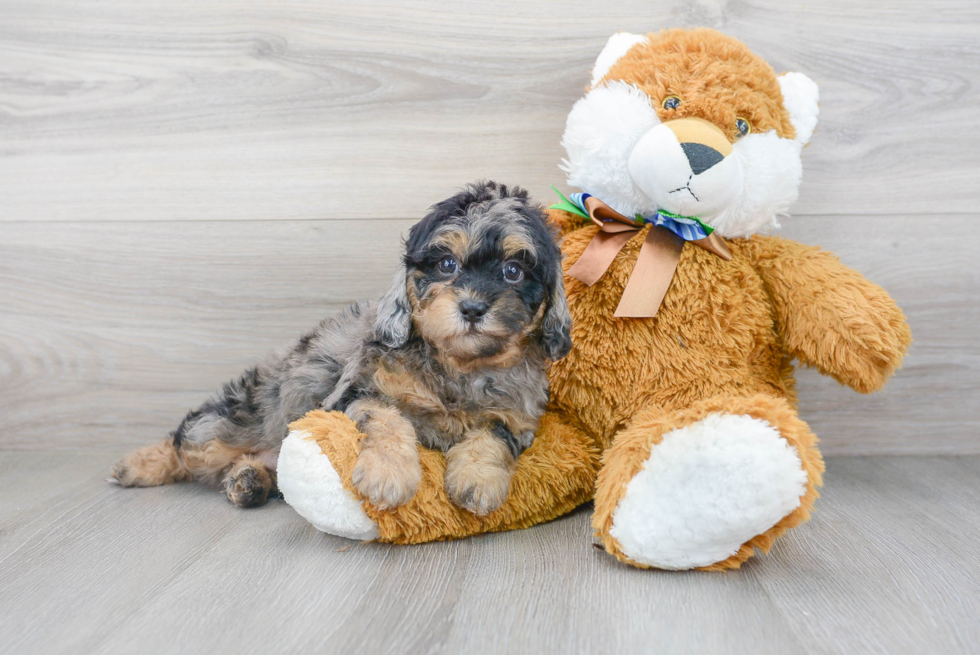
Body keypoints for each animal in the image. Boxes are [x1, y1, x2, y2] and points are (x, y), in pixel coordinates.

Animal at [113, 181, 576, 516]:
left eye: (513, 271)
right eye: (448, 265)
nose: (474, 308)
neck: (458, 367)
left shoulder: (518, 419)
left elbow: (492, 434)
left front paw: (478, 480)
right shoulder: (356, 391)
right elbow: (389, 419)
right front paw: (388, 476)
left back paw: (247, 481)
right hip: (236, 421)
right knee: (187, 440)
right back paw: (137, 465)